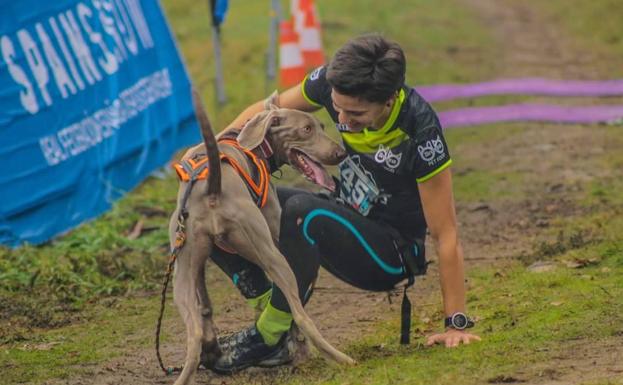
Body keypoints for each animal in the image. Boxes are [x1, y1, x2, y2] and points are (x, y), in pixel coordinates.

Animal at [169, 92, 356, 384]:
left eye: (321, 126)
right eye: (306, 129)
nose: (340, 153)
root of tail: (212, 188)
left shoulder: (203, 259)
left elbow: (208, 306)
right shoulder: (275, 227)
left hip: (182, 277)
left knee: (194, 334)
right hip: (272, 254)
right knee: (300, 315)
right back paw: (338, 358)